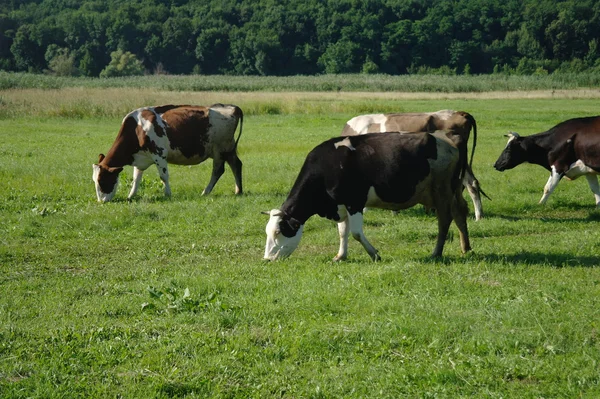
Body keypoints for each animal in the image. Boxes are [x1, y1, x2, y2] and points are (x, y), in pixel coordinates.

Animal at [92, 103, 243, 203]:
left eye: (102, 180)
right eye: (95, 180)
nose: (101, 201)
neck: (137, 129)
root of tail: (232, 107)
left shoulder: (159, 155)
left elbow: (163, 177)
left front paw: (168, 194)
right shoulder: (140, 159)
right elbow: (136, 179)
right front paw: (131, 196)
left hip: (220, 150)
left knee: (218, 170)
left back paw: (205, 192)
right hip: (229, 149)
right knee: (236, 165)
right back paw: (238, 191)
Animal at [264, 131, 472, 262]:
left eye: (278, 232)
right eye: (267, 232)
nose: (266, 259)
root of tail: (447, 139)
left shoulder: (354, 202)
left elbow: (356, 233)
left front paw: (374, 254)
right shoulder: (341, 205)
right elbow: (342, 232)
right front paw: (340, 256)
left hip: (442, 190)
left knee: (444, 220)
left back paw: (436, 253)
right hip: (452, 191)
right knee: (460, 213)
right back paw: (466, 248)